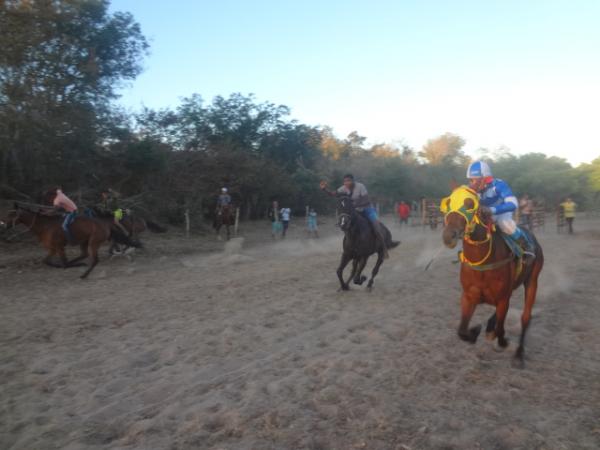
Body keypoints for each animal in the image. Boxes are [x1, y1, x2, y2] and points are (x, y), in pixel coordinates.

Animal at [0, 203, 141, 278]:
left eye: (11, 214)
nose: (3, 225)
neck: (45, 225)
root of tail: (105, 224)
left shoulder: (59, 247)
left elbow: (64, 263)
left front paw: (69, 265)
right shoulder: (52, 248)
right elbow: (47, 261)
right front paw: (62, 265)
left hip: (93, 242)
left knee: (94, 260)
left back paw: (84, 275)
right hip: (85, 241)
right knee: (84, 254)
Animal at [440, 186, 544, 366]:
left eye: (470, 204)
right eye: (448, 202)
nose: (449, 236)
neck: (484, 261)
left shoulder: (502, 299)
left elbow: (501, 329)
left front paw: (502, 342)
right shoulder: (469, 296)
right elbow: (462, 330)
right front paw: (475, 331)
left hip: (532, 281)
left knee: (525, 317)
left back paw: (519, 354)